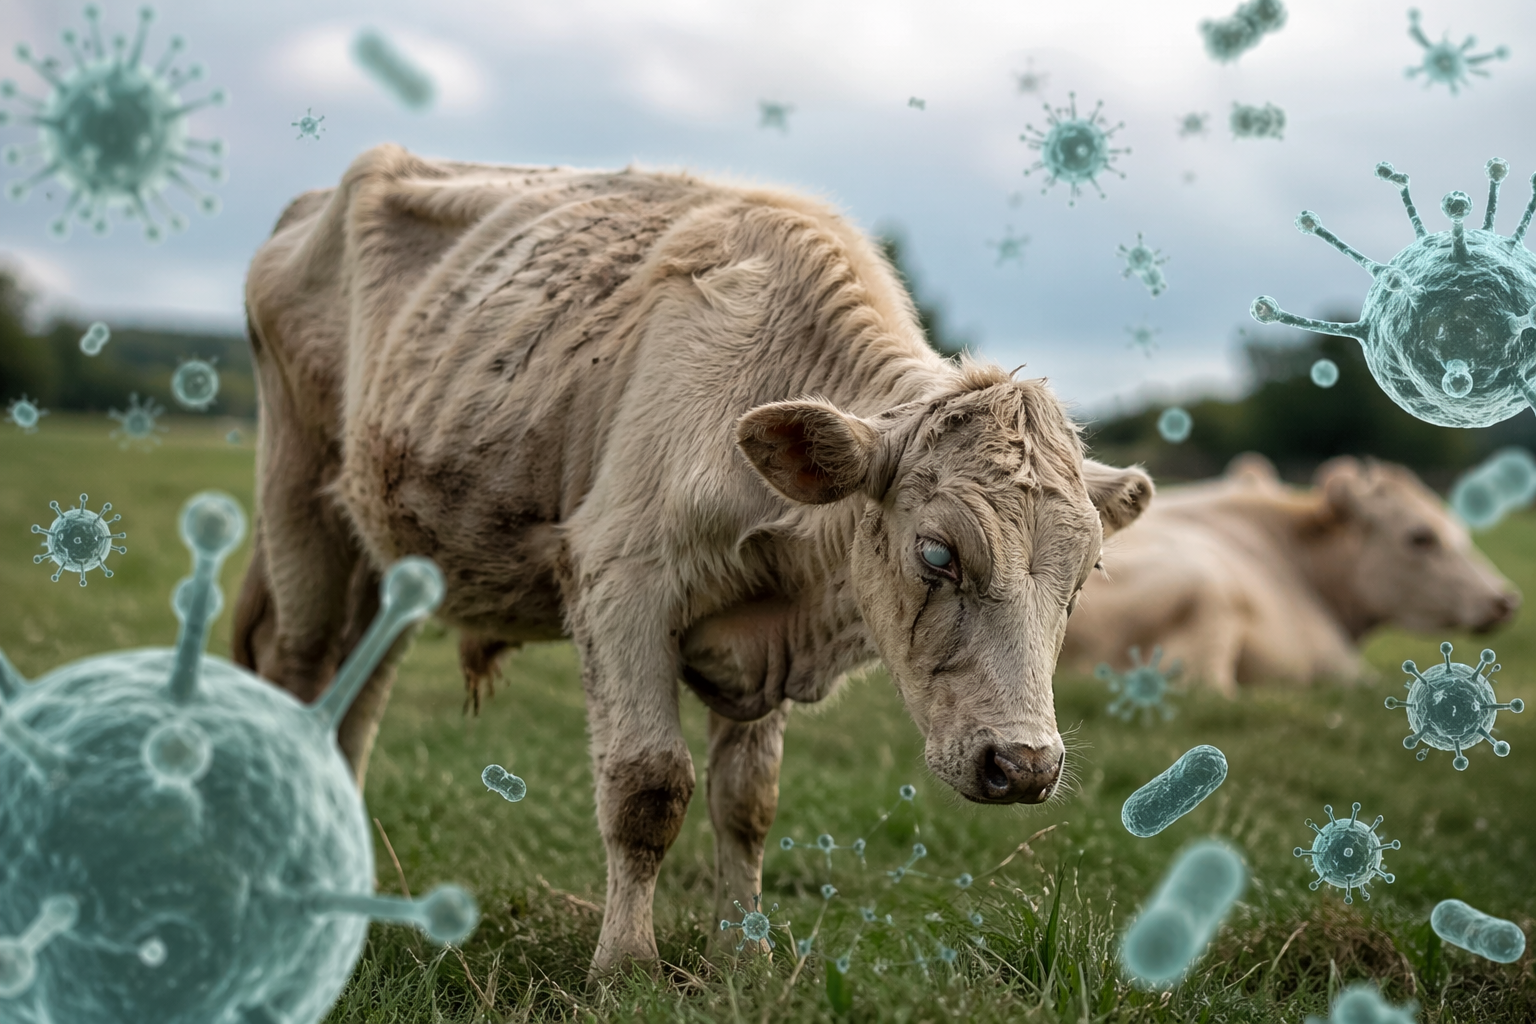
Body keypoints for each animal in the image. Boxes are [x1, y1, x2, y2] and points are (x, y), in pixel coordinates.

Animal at [233, 145, 1153, 972]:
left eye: (1085, 575)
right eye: (936, 551)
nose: (1026, 764)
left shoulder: (761, 643)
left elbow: (746, 802)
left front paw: (742, 954)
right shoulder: (620, 586)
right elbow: (648, 787)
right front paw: (625, 964)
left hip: (390, 560)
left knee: (359, 697)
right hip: (299, 506)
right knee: (299, 667)